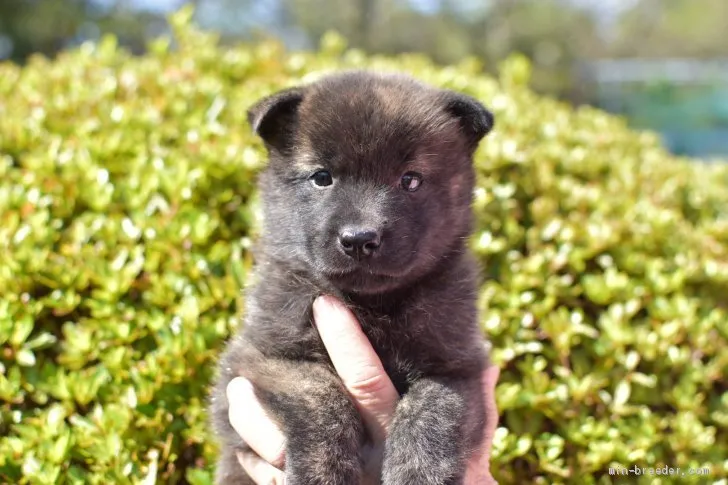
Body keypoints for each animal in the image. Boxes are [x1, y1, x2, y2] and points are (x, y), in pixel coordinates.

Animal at [210, 69, 494, 484]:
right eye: (322, 177)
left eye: (410, 180)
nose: (359, 239)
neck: (369, 304)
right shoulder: (259, 360)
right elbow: (319, 394)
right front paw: (323, 472)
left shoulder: (460, 368)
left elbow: (432, 407)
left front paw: (418, 472)